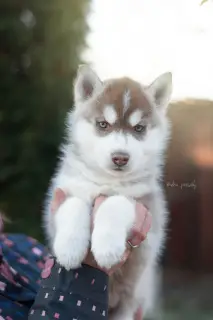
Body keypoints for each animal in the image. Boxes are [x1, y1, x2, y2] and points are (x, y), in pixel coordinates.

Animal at [43, 65, 171, 320]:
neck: (107, 181)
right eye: (103, 125)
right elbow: (74, 205)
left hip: (128, 305)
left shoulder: (148, 212)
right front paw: (70, 248)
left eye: (139, 128)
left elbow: (117, 202)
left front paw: (107, 247)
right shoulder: (61, 195)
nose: (120, 157)